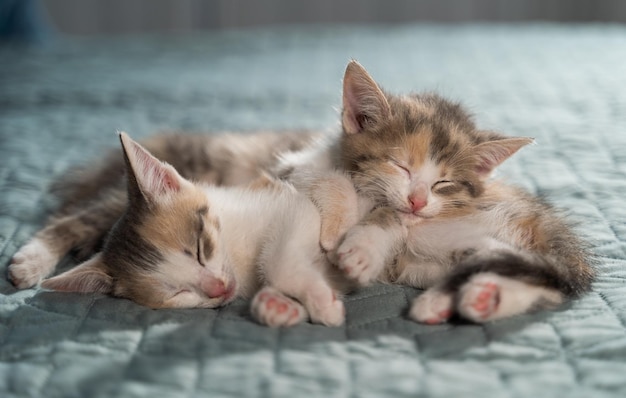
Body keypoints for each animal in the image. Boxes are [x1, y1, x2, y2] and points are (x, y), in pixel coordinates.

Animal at [15, 132, 346, 328]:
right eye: (177, 293)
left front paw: (317, 304)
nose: (219, 289)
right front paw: (282, 307)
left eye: (199, 249)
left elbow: (281, 260)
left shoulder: (292, 200)